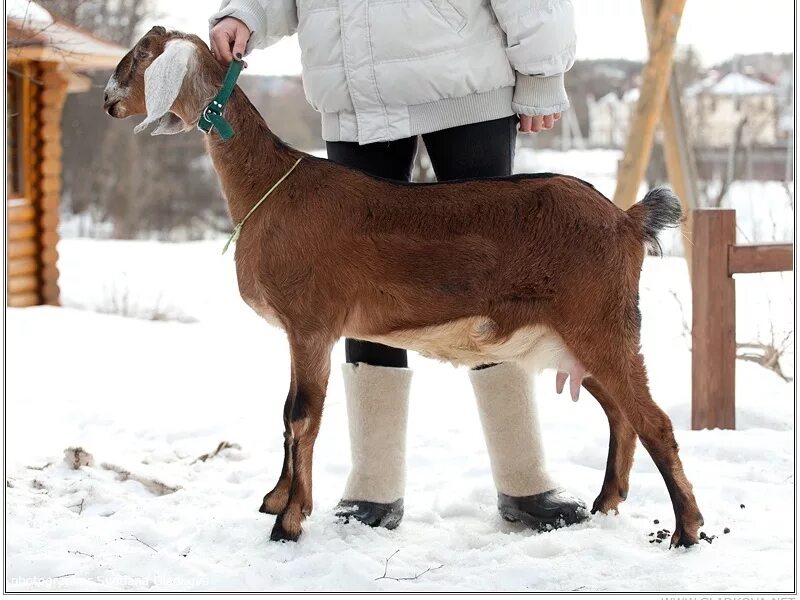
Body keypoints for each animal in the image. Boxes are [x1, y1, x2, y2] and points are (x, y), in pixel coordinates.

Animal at [104, 27, 700, 544]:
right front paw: (276, 500)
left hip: (600, 321)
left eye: (139, 56)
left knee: (656, 422)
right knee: (622, 415)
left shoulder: (312, 324)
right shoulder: (303, 332)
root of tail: (626, 219)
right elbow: (287, 411)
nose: (109, 101)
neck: (271, 187)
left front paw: (290, 522)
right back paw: (606, 504)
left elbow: (302, 415)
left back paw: (687, 530)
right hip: (570, 337)